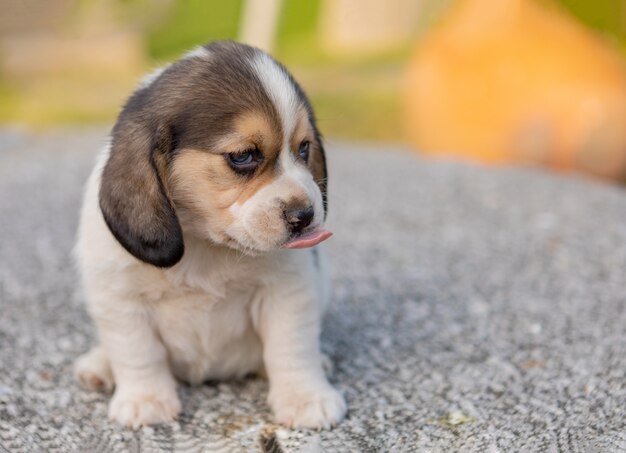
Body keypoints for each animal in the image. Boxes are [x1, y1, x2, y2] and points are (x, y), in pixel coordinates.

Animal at [75, 40, 346, 430]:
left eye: (304, 148)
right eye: (243, 156)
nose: (305, 215)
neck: (206, 244)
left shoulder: (287, 293)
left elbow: (292, 347)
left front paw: (305, 397)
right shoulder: (120, 300)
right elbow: (138, 352)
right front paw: (145, 400)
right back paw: (99, 365)